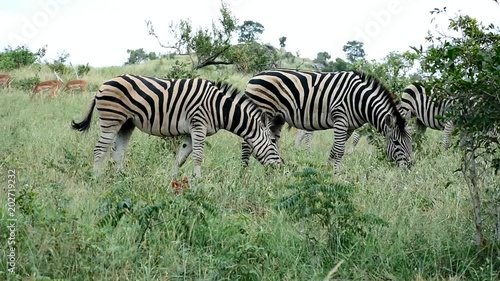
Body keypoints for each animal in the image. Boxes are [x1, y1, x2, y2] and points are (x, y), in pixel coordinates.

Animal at [71, 73, 284, 176]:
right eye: (273, 144)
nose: (282, 168)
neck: (219, 107)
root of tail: (103, 84)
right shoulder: (199, 125)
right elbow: (197, 156)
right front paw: (198, 181)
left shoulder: (191, 131)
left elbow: (181, 157)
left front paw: (172, 178)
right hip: (111, 119)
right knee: (100, 149)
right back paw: (97, 178)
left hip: (127, 123)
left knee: (117, 152)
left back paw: (122, 179)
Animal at [240, 69, 412, 172]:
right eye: (396, 143)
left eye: (410, 142)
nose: (410, 167)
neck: (360, 100)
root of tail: (256, 75)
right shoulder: (340, 118)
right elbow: (339, 150)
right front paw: (336, 174)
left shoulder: (349, 126)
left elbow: (334, 150)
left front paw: (330, 171)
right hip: (262, 109)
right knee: (247, 143)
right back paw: (244, 172)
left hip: (277, 117)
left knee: (271, 141)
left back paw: (273, 171)